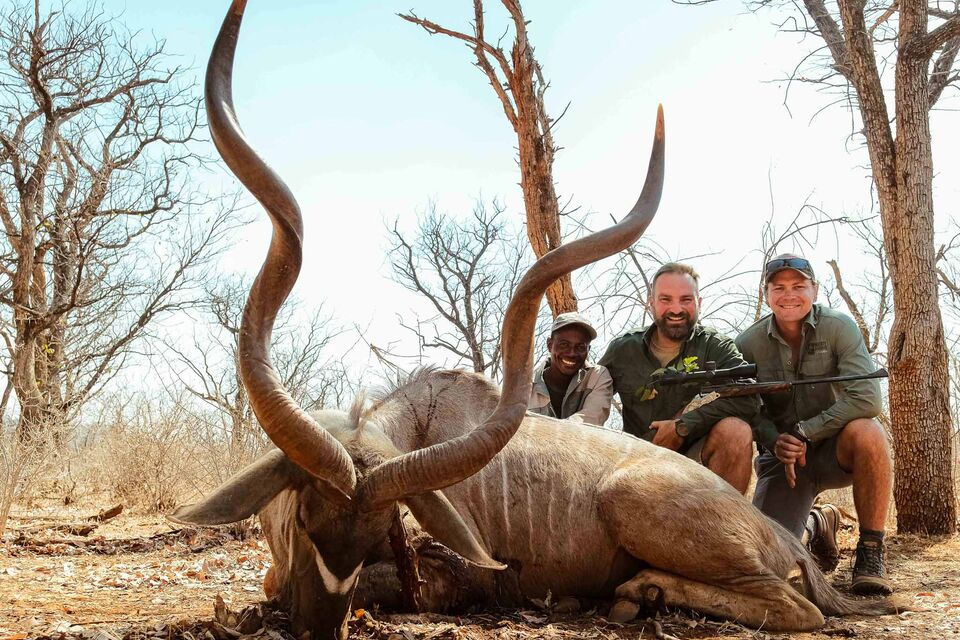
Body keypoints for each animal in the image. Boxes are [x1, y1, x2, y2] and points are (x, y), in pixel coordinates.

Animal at [171, 2, 900, 636]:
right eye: (305, 521)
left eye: (382, 527)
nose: (317, 626)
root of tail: (779, 536)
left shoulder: (454, 578)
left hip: (640, 509)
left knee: (794, 608)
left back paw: (640, 592)